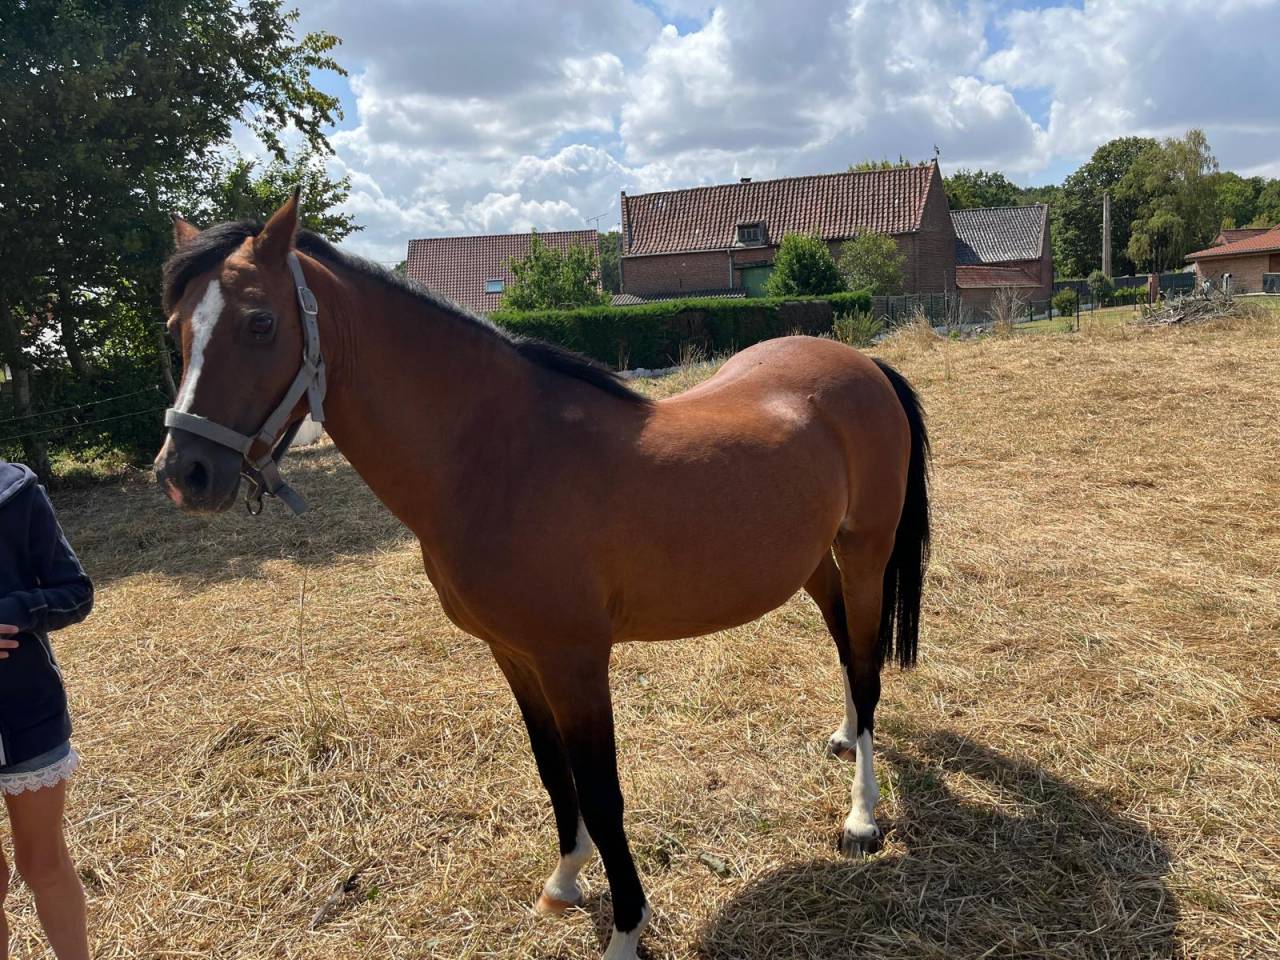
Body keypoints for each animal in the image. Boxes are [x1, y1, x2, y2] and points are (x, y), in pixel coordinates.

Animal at [152, 193, 930, 960]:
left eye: (260, 321)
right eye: (175, 328)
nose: (185, 473)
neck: (500, 455)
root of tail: (861, 362)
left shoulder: (575, 663)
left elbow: (603, 792)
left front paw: (626, 928)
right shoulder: (514, 655)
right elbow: (555, 773)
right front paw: (564, 881)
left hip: (866, 551)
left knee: (867, 666)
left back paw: (861, 817)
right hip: (812, 561)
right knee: (845, 646)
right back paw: (844, 736)